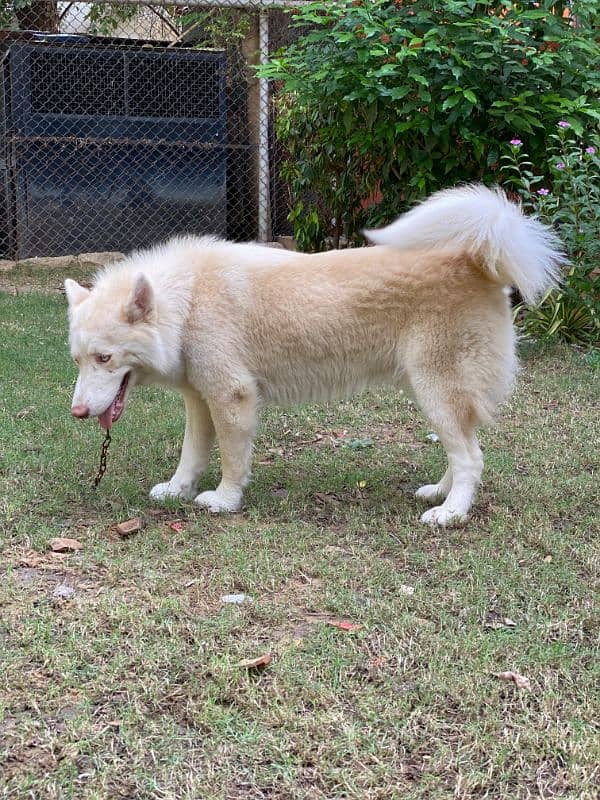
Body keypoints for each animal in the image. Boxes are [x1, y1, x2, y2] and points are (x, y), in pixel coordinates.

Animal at [65, 184, 564, 528]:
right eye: (78, 361)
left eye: (104, 358)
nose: (78, 413)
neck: (186, 301)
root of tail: (475, 259)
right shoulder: (201, 401)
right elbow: (192, 455)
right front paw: (177, 490)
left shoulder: (231, 398)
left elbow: (231, 461)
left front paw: (225, 500)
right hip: (432, 395)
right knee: (461, 452)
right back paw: (439, 494)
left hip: (437, 391)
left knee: (471, 458)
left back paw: (452, 513)